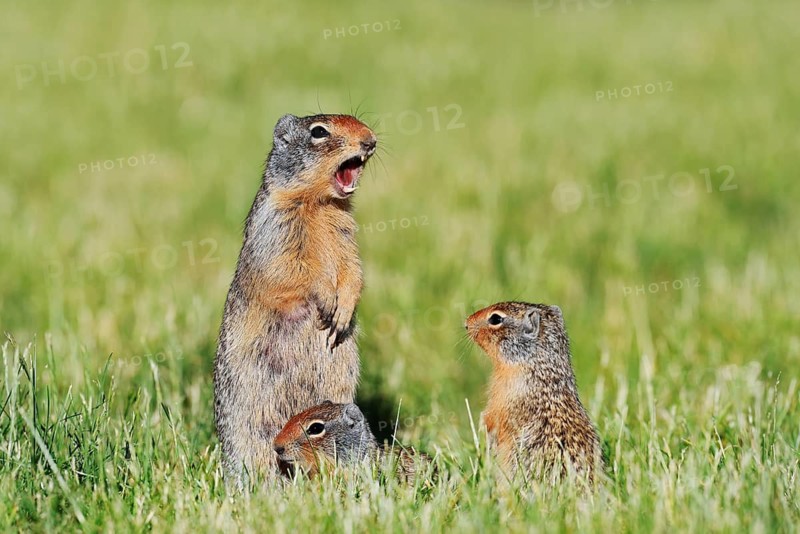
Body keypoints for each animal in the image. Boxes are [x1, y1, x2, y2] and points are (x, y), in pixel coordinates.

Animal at [214, 114, 377, 484]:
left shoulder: (347, 234)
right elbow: (294, 269)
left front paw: (342, 314)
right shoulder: (277, 227)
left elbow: (353, 270)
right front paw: (326, 301)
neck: (321, 204)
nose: (371, 140)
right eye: (318, 131)